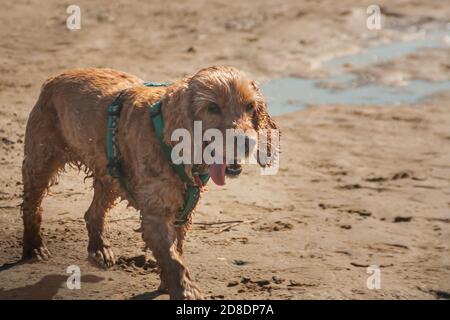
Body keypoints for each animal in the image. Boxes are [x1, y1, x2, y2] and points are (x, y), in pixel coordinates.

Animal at [22, 66, 280, 298]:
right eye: (212, 107)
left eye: (250, 106)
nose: (247, 142)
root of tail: (53, 79)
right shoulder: (156, 213)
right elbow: (173, 258)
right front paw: (186, 291)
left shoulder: (183, 209)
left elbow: (175, 250)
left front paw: (168, 283)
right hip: (40, 162)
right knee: (31, 207)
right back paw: (34, 247)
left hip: (110, 177)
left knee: (93, 213)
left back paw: (99, 249)